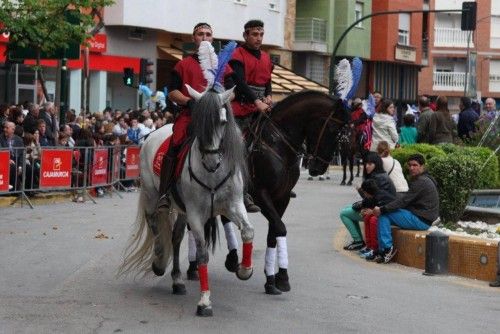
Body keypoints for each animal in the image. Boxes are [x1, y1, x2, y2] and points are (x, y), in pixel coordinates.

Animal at [120, 85, 254, 316]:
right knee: (154, 224)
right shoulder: (196, 215)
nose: (212, 160)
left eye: (223, 122)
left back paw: (177, 281)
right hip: (152, 195)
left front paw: (245, 270)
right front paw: (205, 301)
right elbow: (202, 255)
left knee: (176, 238)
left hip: (182, 211)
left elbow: (248, 231)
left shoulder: (233, 205)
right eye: (198, 122)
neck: (212, 174)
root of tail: (154, 133)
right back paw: (159, 262)